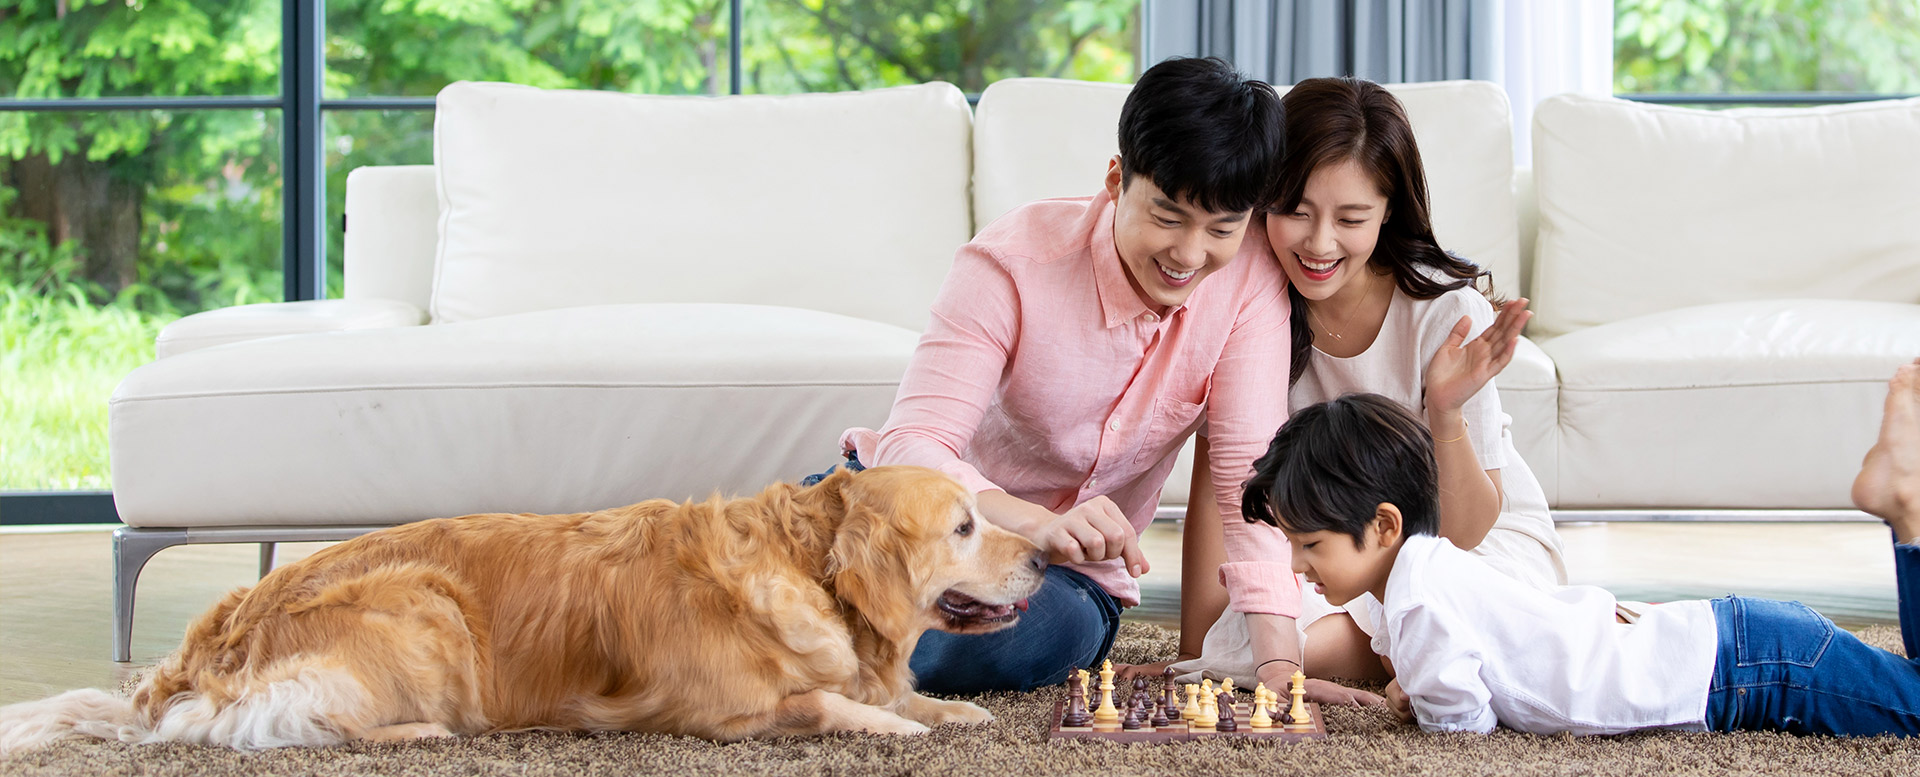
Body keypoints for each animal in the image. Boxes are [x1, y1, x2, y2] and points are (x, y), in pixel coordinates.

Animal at [0, 462, 1044, 748]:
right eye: (963, 526)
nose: (1040, 557)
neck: (806, 568)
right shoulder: (711, 712)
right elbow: (829, 700)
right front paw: (894, 723)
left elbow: (900, 689)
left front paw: (949, 707)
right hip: (424, 606)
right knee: (291, 723)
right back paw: (419, 733)